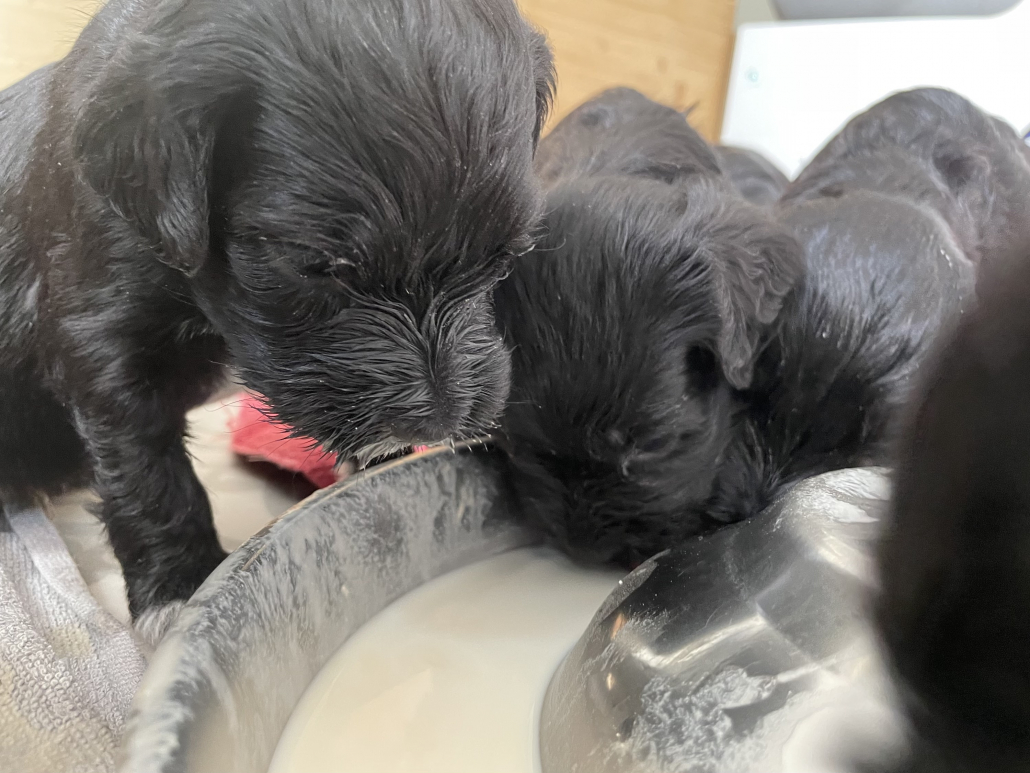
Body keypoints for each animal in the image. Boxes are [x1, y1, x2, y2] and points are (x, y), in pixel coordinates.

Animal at [0, 0, 554, 631]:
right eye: (317, 266)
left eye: (506, 255)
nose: (435, 425)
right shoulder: (105, 341)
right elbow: (149, 473)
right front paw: (178, 591)